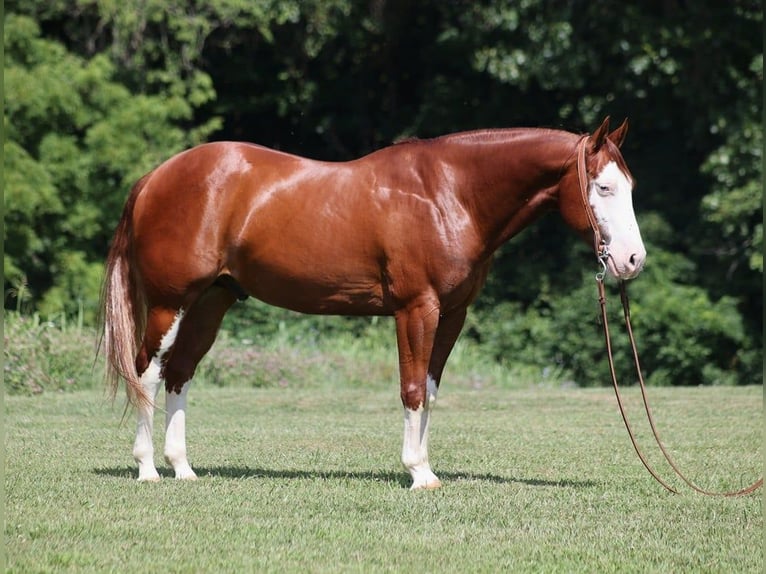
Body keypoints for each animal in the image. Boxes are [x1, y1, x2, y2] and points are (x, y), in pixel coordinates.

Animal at [99, 116, 644, 490]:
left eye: (630, 187)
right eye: (603, 187)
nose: (632, 259)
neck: (450, 193)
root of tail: (154, 179)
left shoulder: (453, 315)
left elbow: (430, 391)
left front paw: (428, 469)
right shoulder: (416, 309)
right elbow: (411, 389)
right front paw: (416, 474)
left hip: (212, 301)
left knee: (179, 374)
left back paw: (183, 468)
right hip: (170, 303)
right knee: (147, 371)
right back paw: (147, 469)